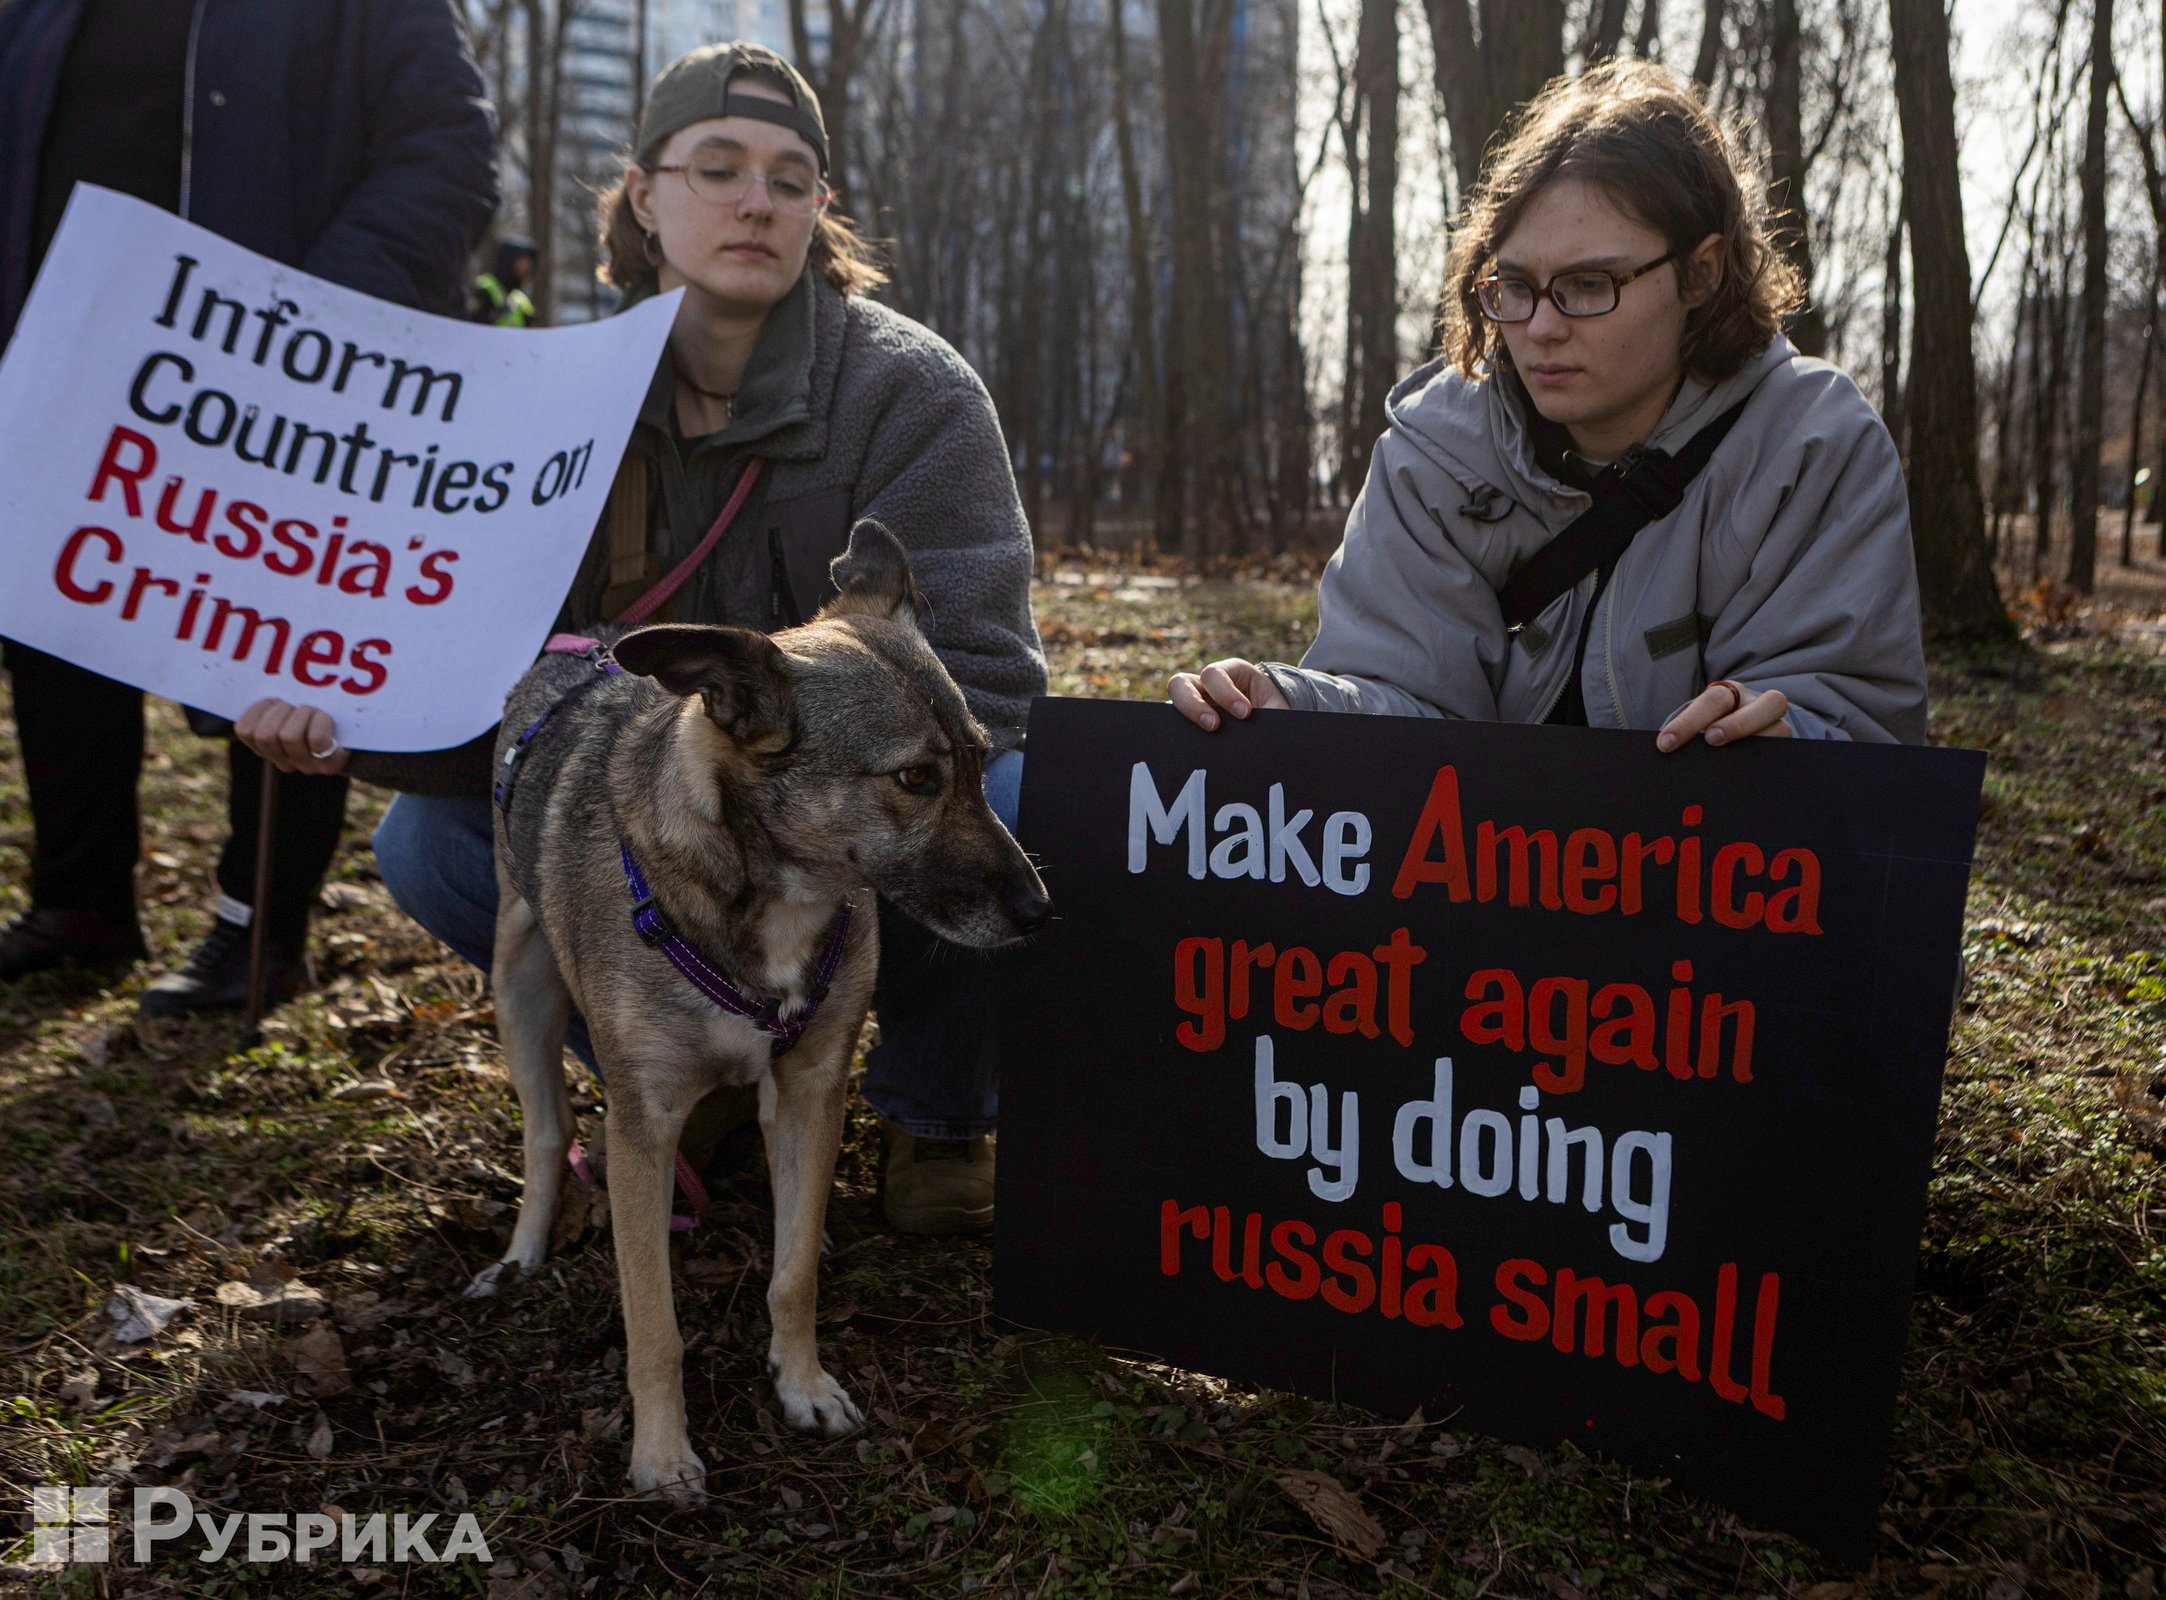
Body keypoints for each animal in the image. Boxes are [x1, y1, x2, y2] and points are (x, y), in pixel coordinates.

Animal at [470, 526, 1052, 1498]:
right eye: (915, 777)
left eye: (978, 757)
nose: (1042, 911)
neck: (774, 891)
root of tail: (584, 649)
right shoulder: (642, 1124)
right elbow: (654, 1322)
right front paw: (661, 1451)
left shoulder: (812, 1086)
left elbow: (792, 1276)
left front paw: (802, 1381)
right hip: (521, 983)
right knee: (548, 1133)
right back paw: (523, 1251)